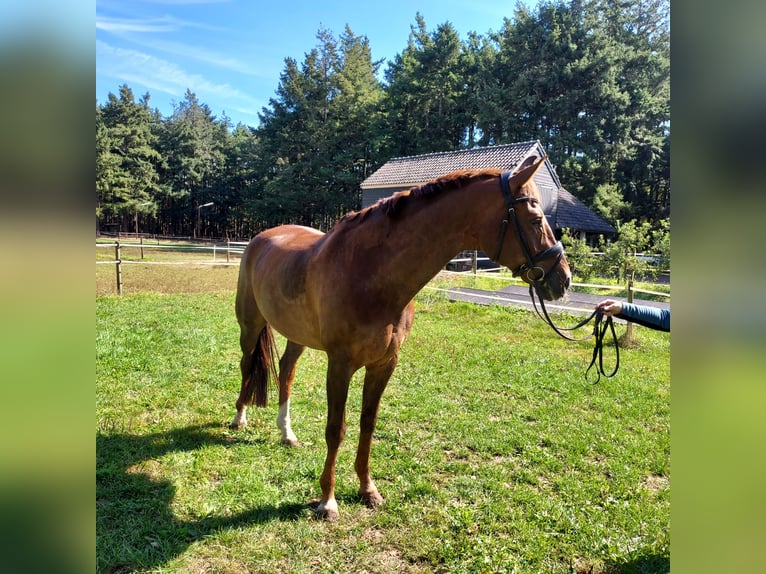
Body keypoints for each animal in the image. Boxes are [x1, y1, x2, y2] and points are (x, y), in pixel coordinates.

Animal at [230, 155, 572, 521]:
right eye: (535, 219)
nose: (563, 279)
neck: (371, 272)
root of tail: (261, 238)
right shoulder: (340, 364)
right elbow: (336, 428)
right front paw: (328, 501)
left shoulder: (384, 364)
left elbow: (367, 424)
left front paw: (368, 490)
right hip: (250, 325)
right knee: (247, 365)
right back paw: (239, 419)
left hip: (298, 335)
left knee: (286, 370)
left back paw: (287, 433)